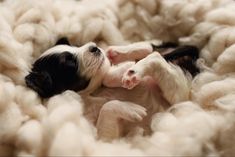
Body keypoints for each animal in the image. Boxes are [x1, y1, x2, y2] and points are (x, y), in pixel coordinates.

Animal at [25, 38, 198, 141]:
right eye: (69, 64)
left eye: (75, 45)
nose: (95, 47)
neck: (93, 93)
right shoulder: (104, 138)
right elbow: (107, 107)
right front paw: (132, 109)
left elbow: (106, 75)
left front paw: (118, 71)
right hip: (178, 96)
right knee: (155, 57)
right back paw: (132, 71)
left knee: (150, 49)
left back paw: (119, 55)